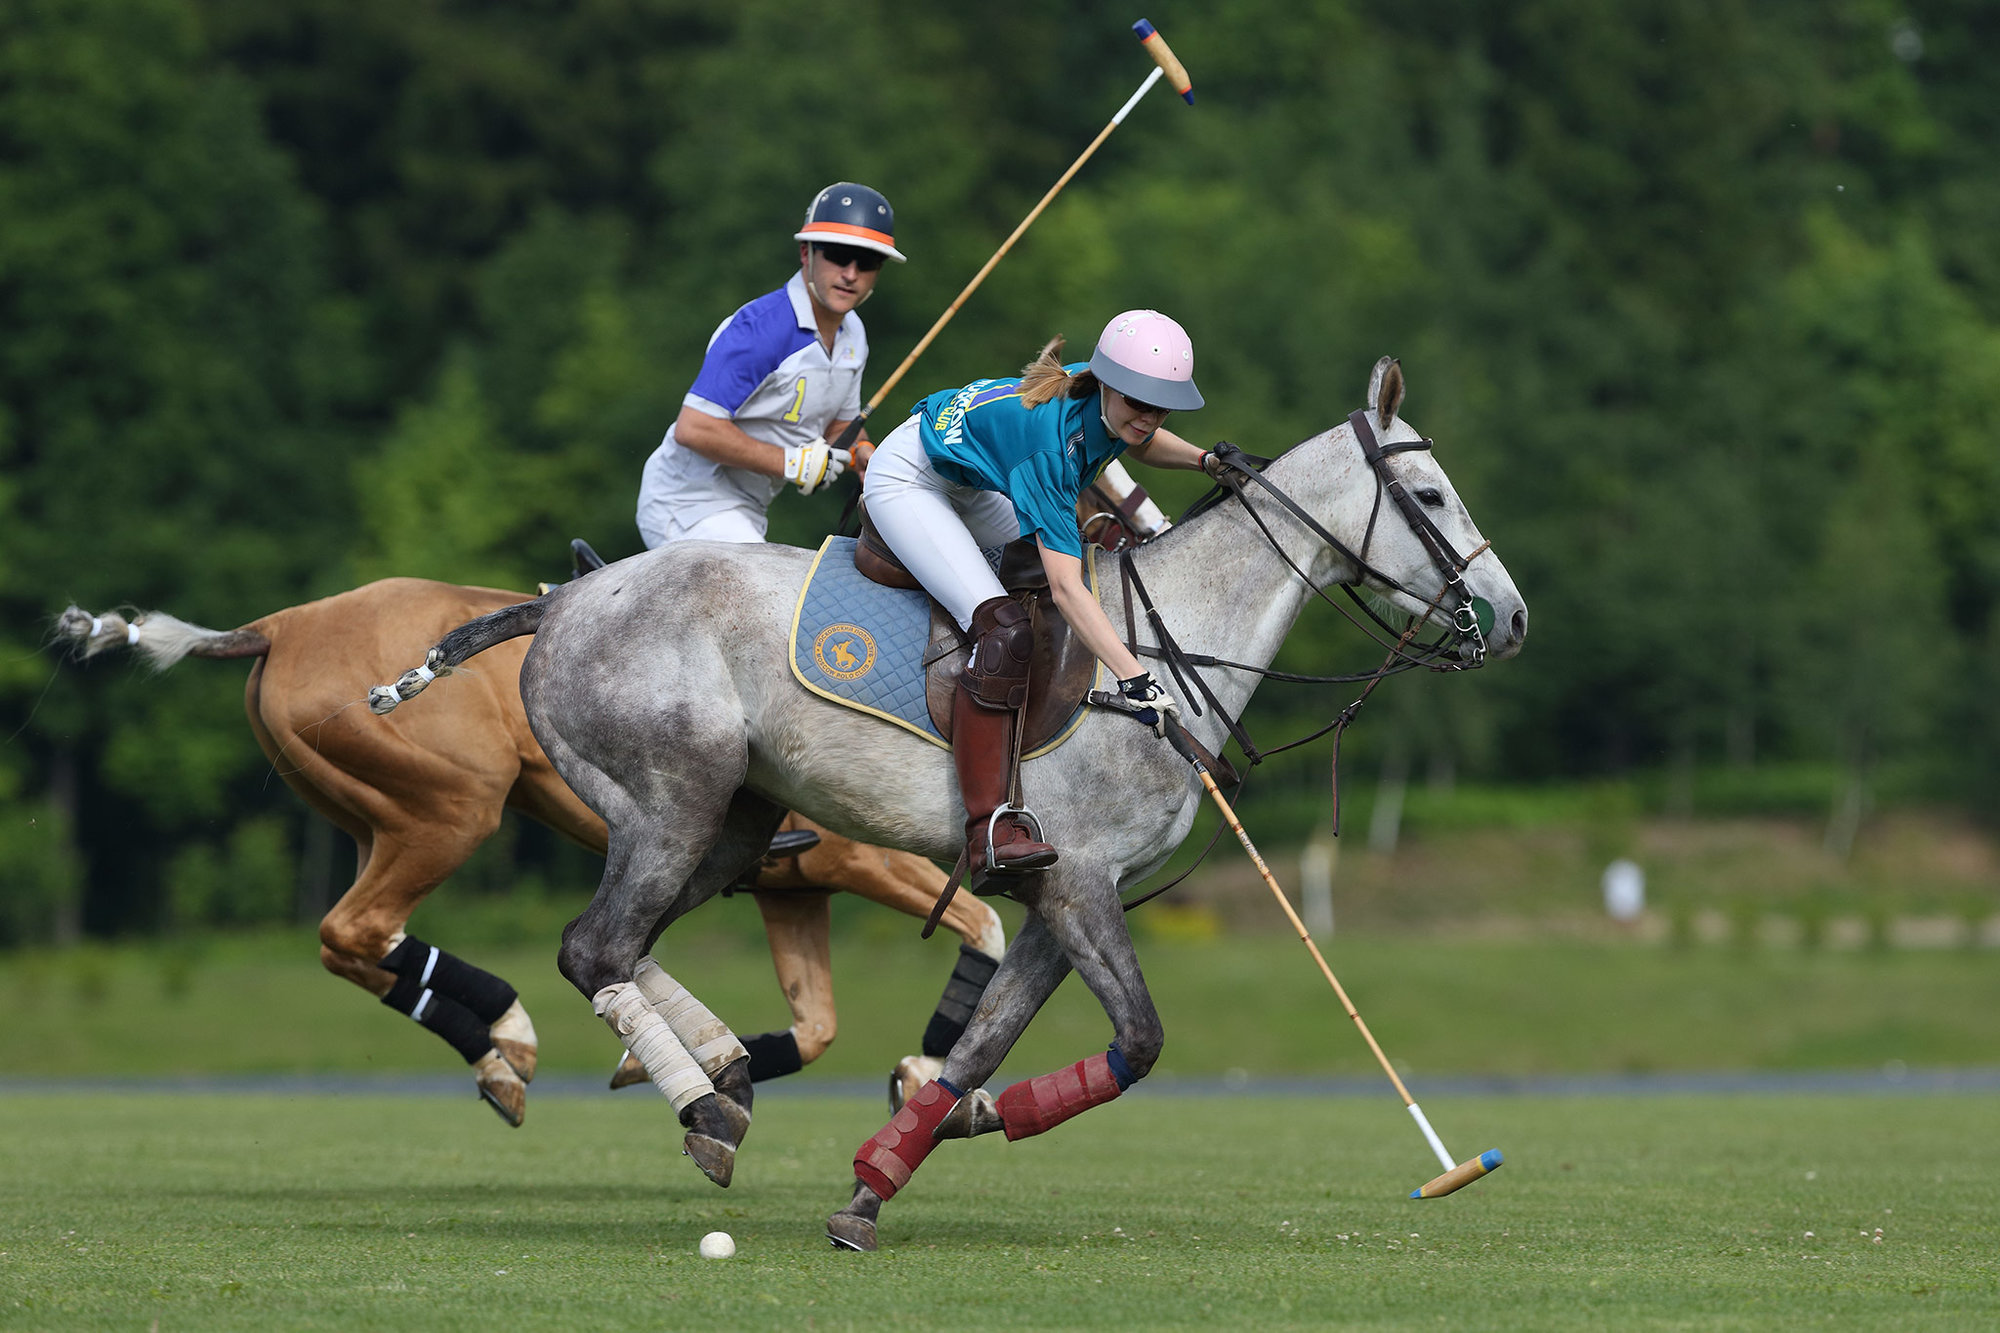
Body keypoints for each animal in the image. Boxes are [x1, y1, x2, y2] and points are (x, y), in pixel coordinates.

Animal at [56, 576, 1008, 1128]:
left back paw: (500, 1050)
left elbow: (815, 1027)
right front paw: (925, 1069)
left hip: (374, 813)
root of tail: (281, 624)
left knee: (347, 938)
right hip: (453, 807)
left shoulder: (793, 889)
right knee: (358, 929)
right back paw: (503, 1033)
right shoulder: (867, 858)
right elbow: (983, 925)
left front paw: (668, 1062)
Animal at [376, 356, 1528, 1248]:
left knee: (623, 942)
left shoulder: (1063, 898)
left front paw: (890, 1165)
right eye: (1430, 498)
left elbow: (987, 1048)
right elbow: (1140, 1039)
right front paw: (911, 1139)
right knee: (596, 946)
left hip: (732, 820)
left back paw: (725, 1072)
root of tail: (563, 595)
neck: (1172, 642)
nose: (1510, 618)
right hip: (671, 796)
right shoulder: (1078, 880)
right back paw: (707, 1106)